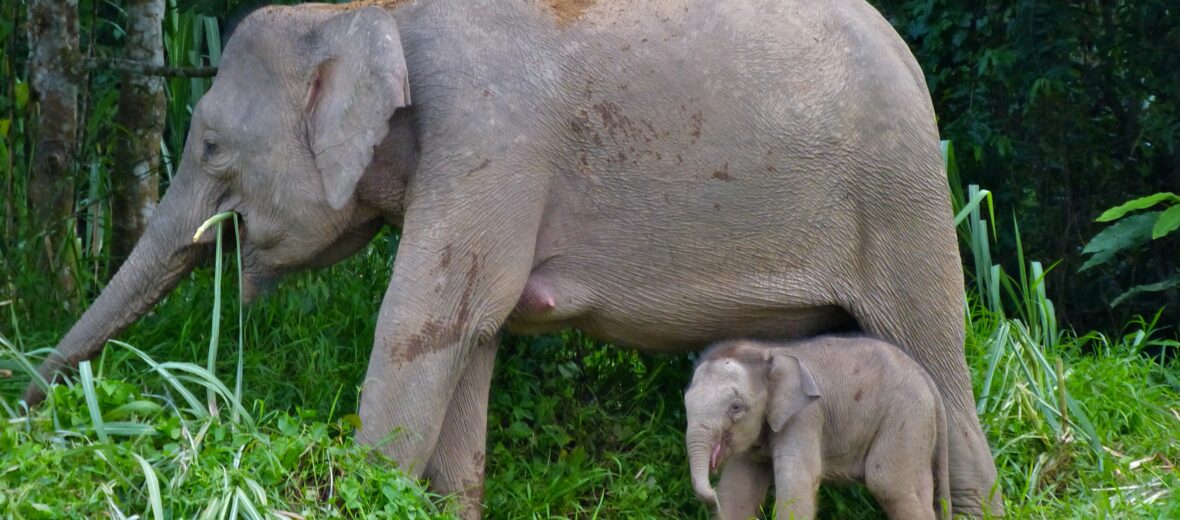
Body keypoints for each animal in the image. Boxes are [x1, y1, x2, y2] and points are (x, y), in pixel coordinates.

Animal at [684, 334, 948, 516]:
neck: (765, 351)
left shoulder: (804, 417)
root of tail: (928, 380)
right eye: (685, 402)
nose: (711, 494)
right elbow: (737, 492)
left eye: (736, 407)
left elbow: (797, 482)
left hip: (906, 418)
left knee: (889, 485)